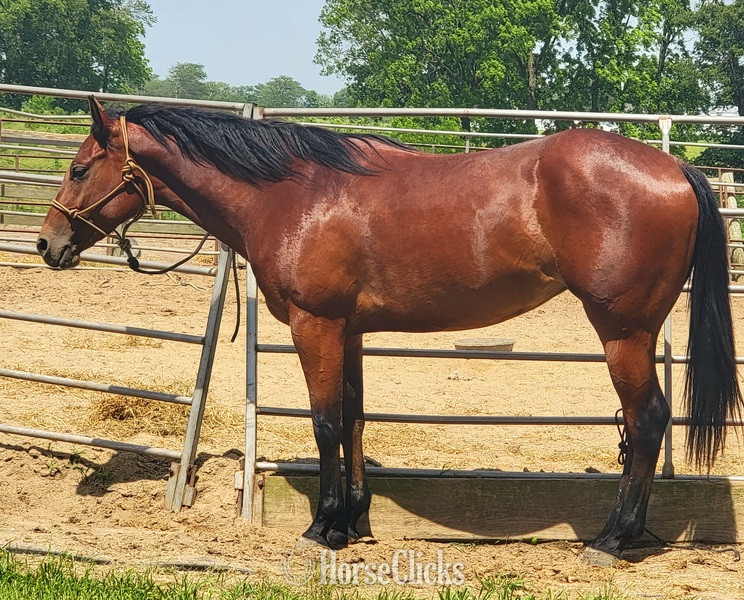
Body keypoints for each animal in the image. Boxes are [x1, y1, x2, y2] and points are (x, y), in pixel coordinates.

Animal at [37, 96, 742, 564]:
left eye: (79, 168)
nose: (47, 244)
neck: (293, 194)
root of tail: (675, 171)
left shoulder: (316, 325)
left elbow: (324, 423)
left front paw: (322, 528)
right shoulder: (348, 332)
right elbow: (352, 419)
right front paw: (352, 520)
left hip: (622, 330)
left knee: (647, 420)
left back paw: (615, 539)